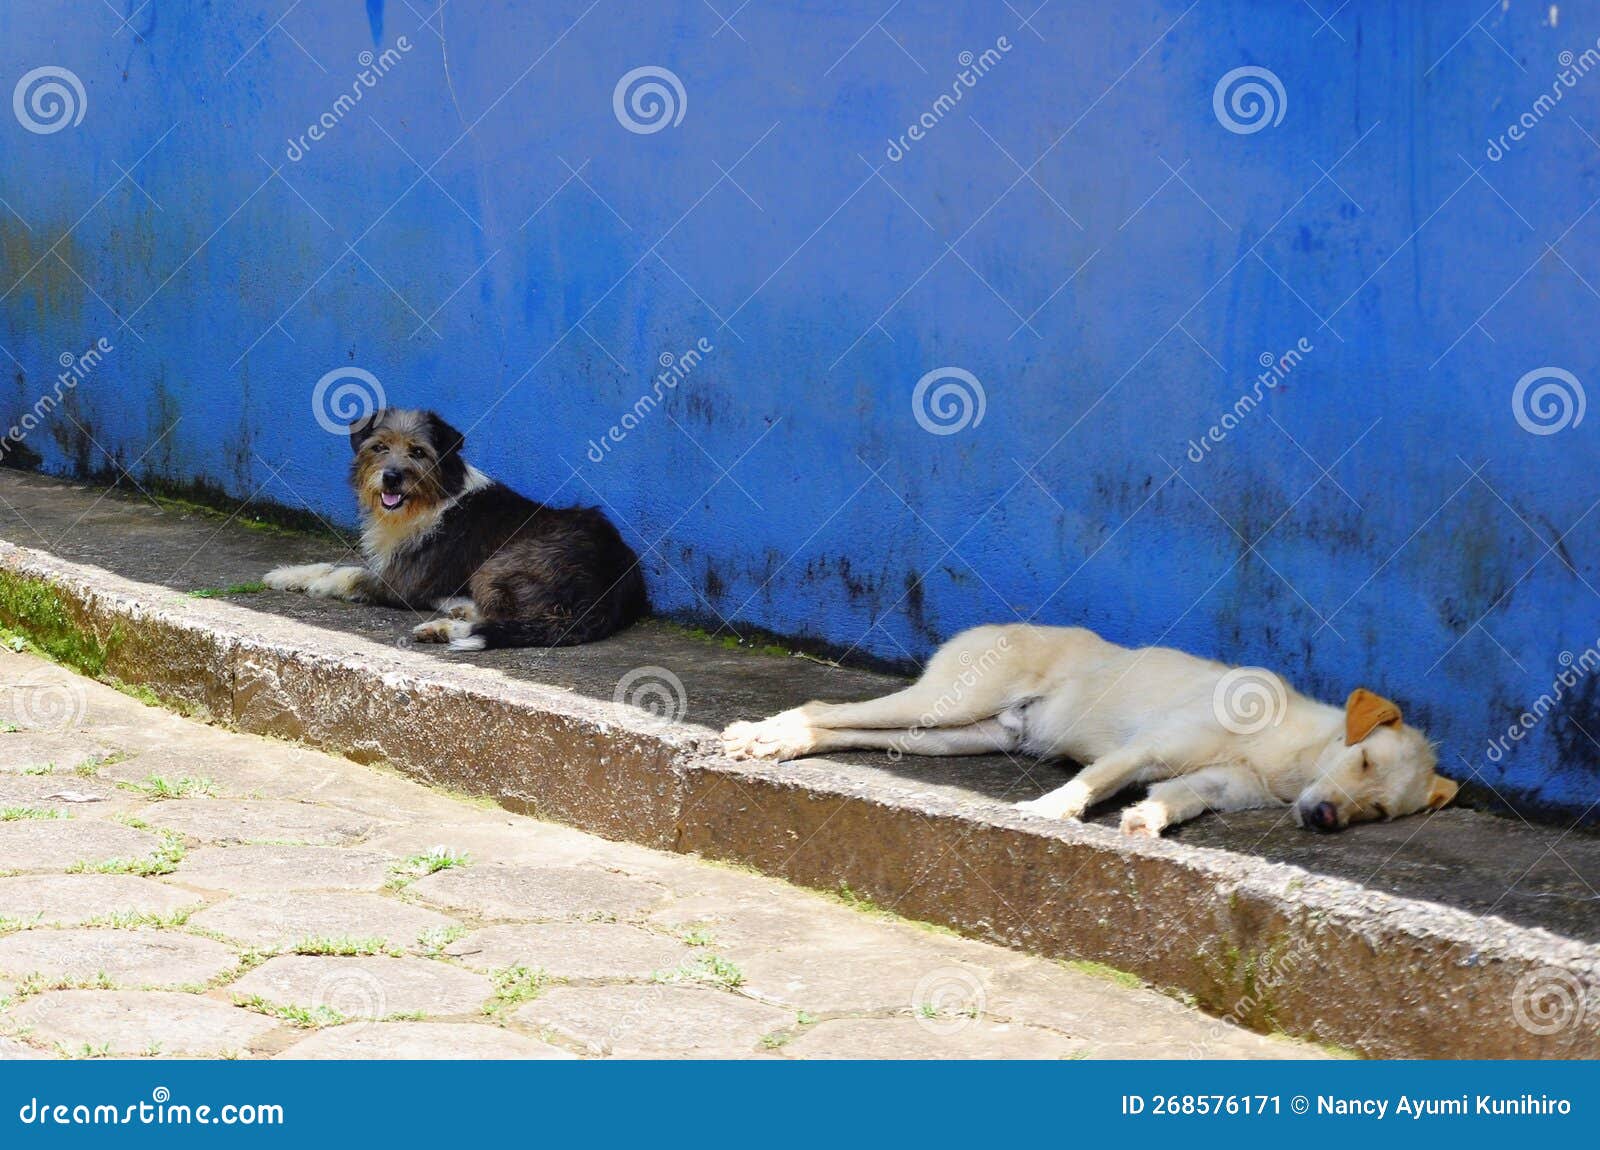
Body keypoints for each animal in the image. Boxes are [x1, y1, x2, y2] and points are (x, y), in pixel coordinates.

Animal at [264, 409, 643, 652]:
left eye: (418, 452)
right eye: (380, 447)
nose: (391, 477)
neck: (431, 498)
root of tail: (611, 586)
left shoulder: (402, 581)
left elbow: (346, 574)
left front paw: (316, 584)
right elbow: (330, 563)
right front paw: (286, 574)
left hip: (501, 564)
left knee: (509, 619)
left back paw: (444, 627)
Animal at [726, 620, 1465, 838]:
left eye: (1378, 811)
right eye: (1364, 762)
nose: (1325, 821)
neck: (1289, 756)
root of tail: (984, 627)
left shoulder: (1213, 785)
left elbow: (1174, 798)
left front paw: (1146, 822)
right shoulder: (1150, 748)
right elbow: (1093, 781)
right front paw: (1046, 811)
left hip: (957, 734)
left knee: (848, 732)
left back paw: (785, 742)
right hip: (949, 701)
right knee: (826, 708)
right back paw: (768, 733)